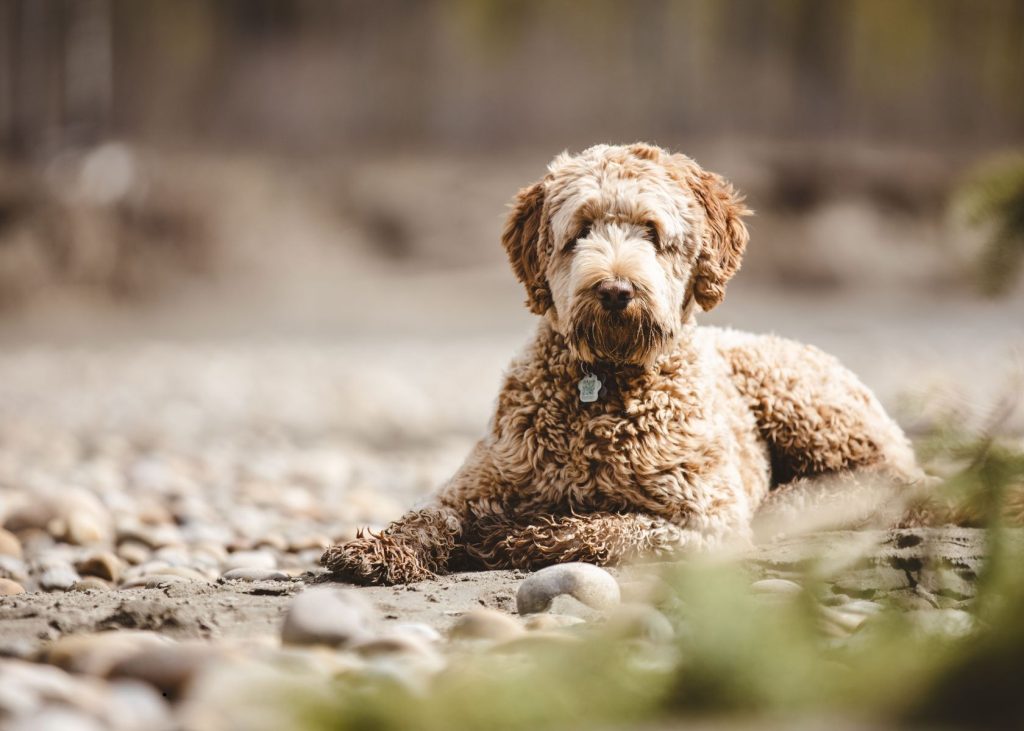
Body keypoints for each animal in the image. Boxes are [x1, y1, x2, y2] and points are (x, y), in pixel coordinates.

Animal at [321, 142, 929, 585]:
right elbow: (428, 515)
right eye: (581, 231)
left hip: (801, 398)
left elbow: (605, 530)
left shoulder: (704, 523)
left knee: (894, 482)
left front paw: (512, 537)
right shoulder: (472, 484)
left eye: (653, 234)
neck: (605, 380)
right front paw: (380, 548)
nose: (615, 289)